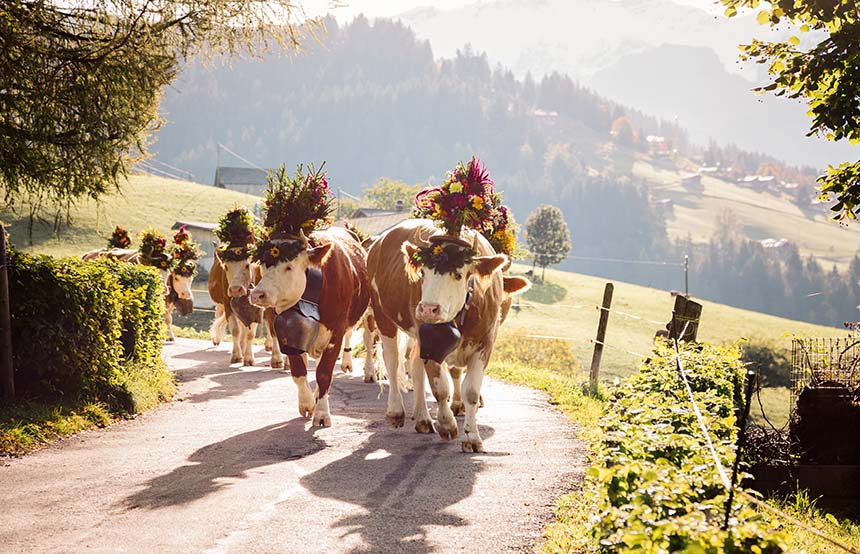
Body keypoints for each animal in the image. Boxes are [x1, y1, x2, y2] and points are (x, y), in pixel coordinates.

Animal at [247, 226, 372, 424]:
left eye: (289, 266)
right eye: (265, 264)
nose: (257, 294)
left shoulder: (336, 332)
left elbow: (324, 374)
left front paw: (321, 413)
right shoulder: (288, 331)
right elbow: (299, 372)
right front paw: (307, 404)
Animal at [364, 218, 528, 450]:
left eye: (458, 275)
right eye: (423, 273)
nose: (427, 309)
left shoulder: (485, 342)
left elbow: (471, 391)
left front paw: (472, 437)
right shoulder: (431, 343)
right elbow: (440, 388)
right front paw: (447, 424)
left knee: (415, 365)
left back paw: (423, 418)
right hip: (382, 315)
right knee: (393, 361)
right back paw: (396, 411)